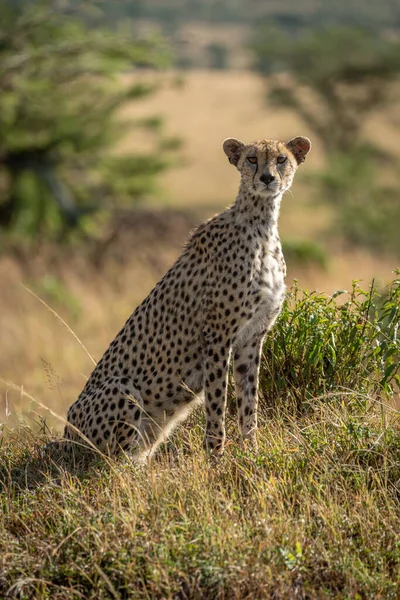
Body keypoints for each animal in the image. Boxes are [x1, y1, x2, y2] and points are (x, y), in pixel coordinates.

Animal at [63, 135, 312, 460]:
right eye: (252, 159)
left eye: (281, 159)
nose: (268, 178)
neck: (261, 223)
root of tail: (64, 436)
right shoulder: (217, 336)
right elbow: (217, 403)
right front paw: (216, 459)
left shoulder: (252, 338)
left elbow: (249, 402)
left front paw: (252, 453)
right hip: (121, 388)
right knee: (113, 463)